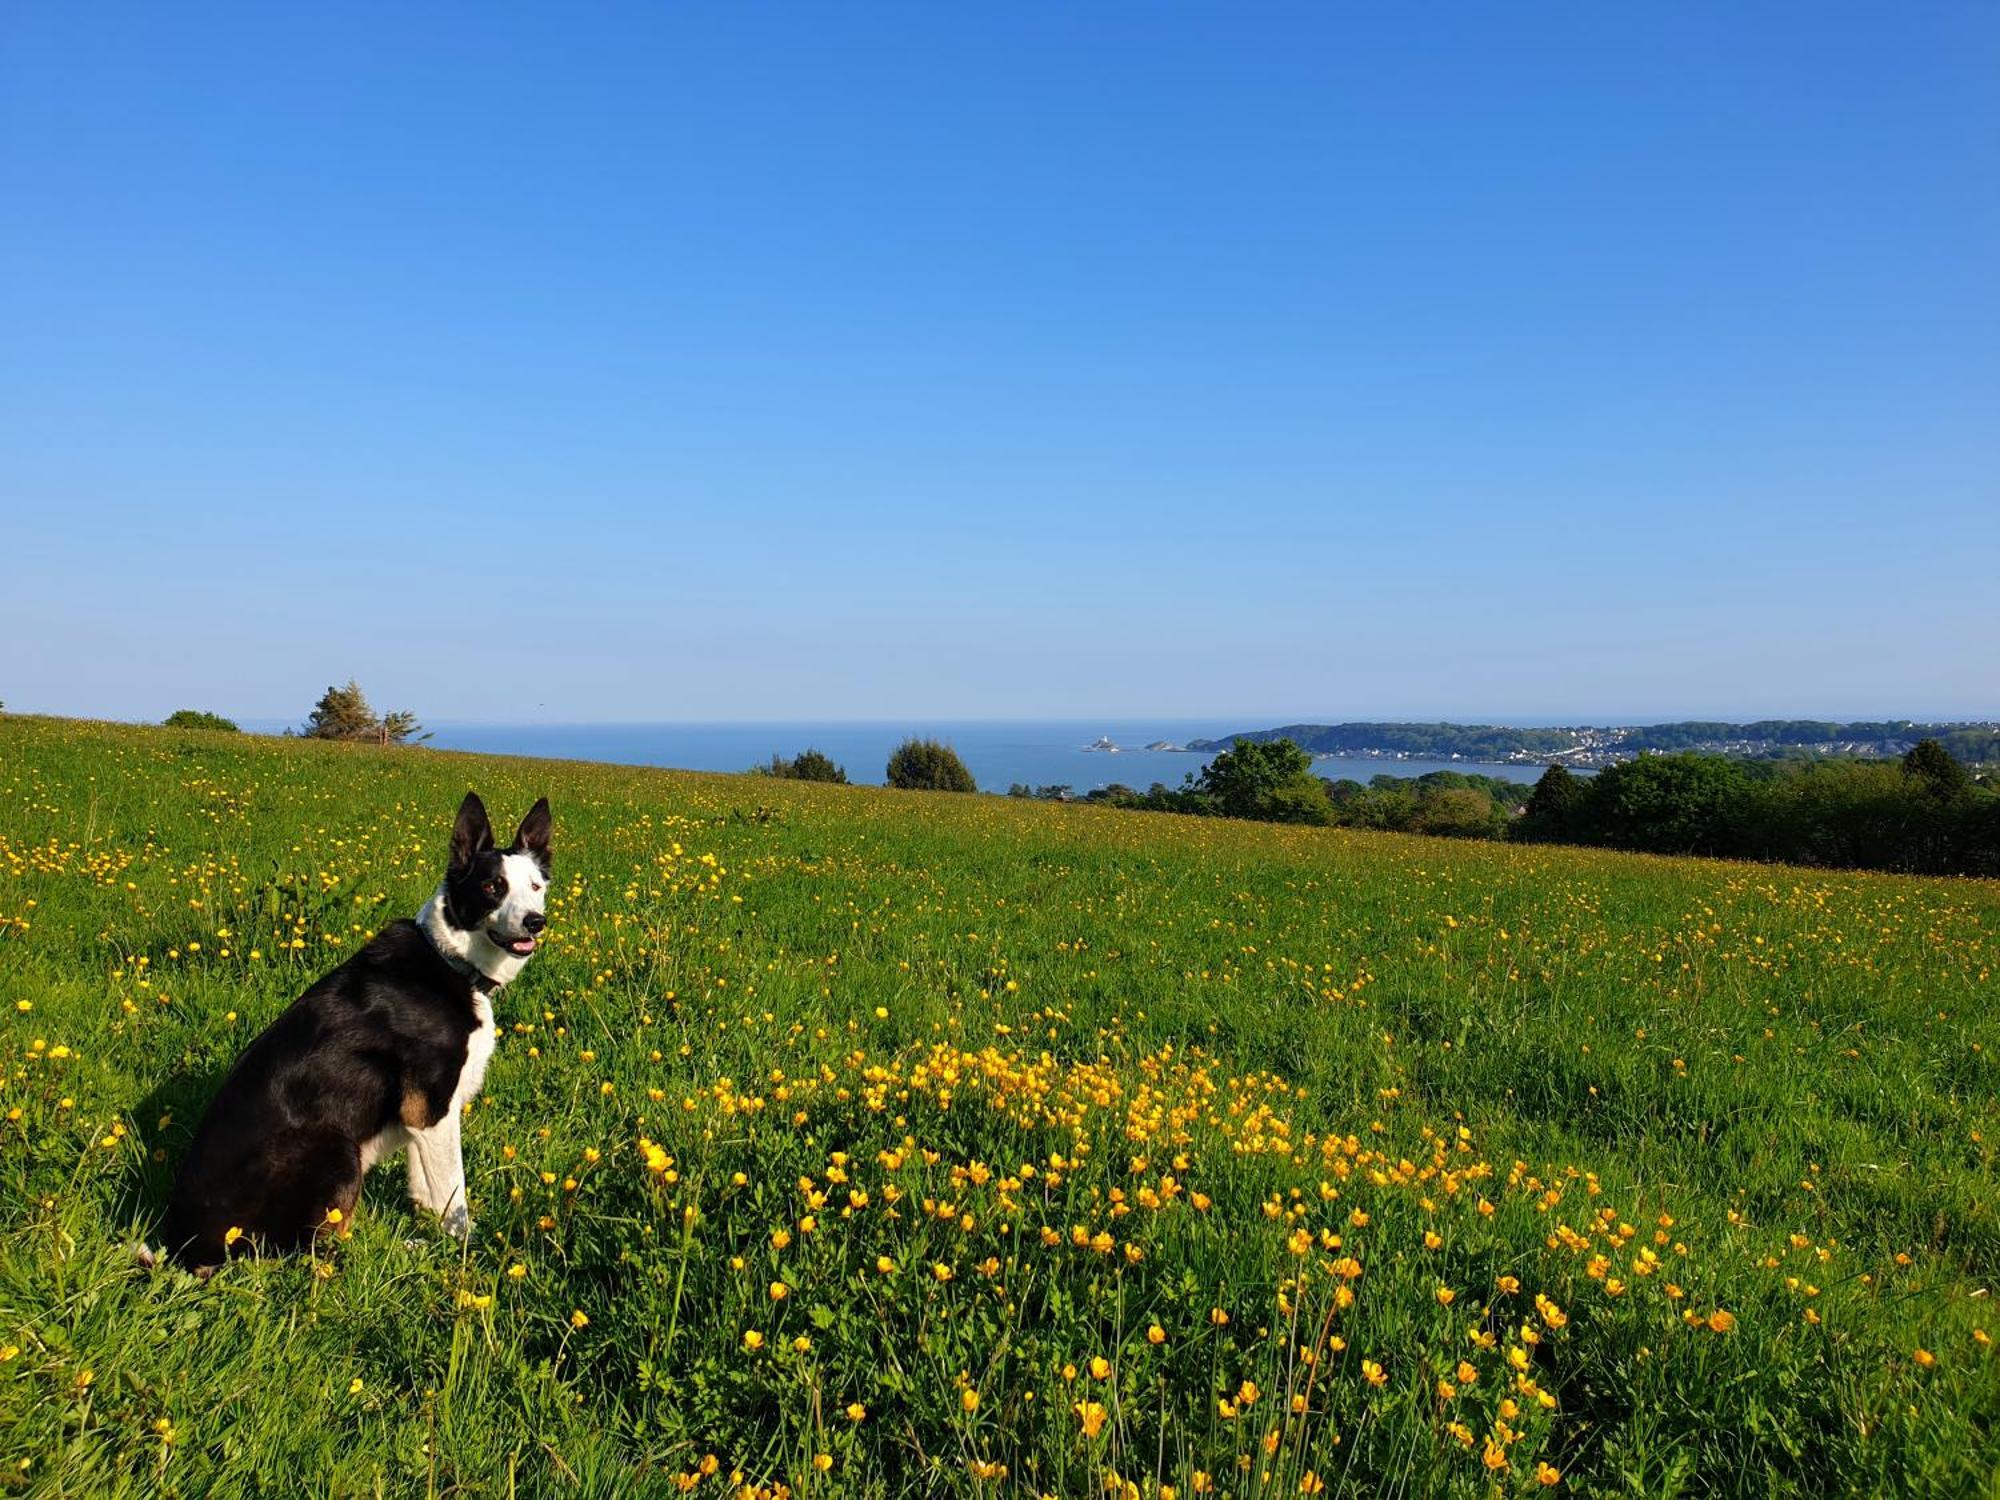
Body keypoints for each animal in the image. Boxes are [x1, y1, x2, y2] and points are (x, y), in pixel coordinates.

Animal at [154, 792, 548, 1272]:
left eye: (536, 887)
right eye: (493, 887)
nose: (535, 922)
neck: (452, 961)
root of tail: (183, 1248)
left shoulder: (423, 1119)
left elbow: (426, 1193)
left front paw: (434, 1240)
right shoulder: (430, 1108)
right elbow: (453, 1196)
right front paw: (464, 1252)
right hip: (339, 1151)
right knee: (311, 1250)